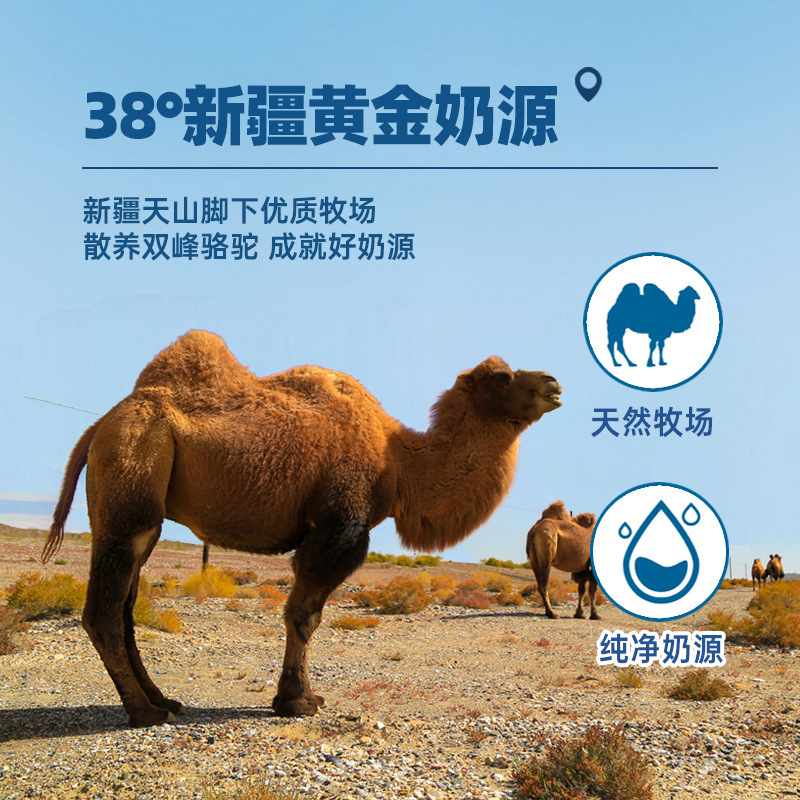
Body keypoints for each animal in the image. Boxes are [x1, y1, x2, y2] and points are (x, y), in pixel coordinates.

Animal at [41, 330, 562, 728]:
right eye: (502, 376)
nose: (554, 382)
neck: (397, 459)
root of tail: (100, 426)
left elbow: (306, 615)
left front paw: (299, 696)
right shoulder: (340, 525)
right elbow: (304, 616)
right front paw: (297, 700)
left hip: (142, 510)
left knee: (126, 609)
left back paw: (163, 700)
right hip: (131, 480)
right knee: (104, 612)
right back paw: (143, 713)